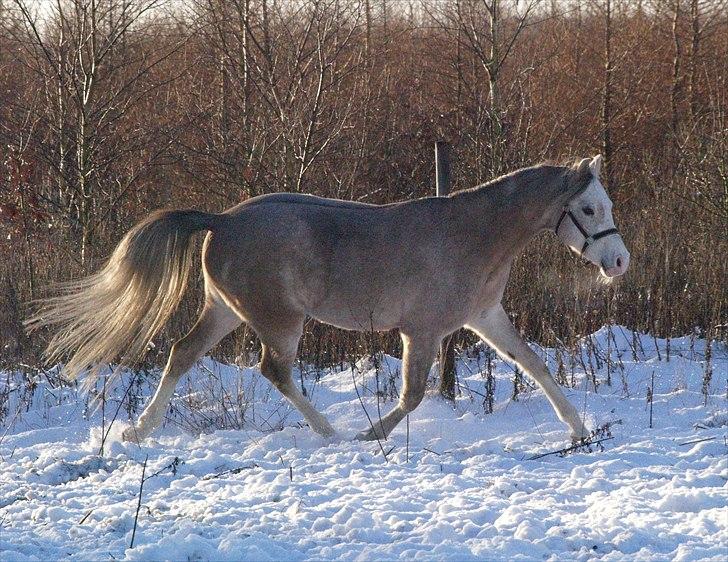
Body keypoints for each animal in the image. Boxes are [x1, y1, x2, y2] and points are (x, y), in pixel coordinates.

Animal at [28, 154, 628, 442]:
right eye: (589, 208)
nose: (620, 262)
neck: (474, 234)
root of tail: (222, 219)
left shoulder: (485, 317)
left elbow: (535, 364)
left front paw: (578, 429)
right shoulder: (422, 331)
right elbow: (412, 395)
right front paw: (368, 434)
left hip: (224, 311)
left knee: (181, 354)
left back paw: (137, 431)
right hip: (278, 320)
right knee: (275, 372)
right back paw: (330, 431)